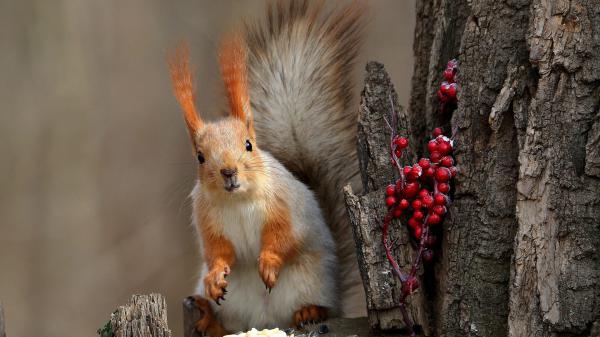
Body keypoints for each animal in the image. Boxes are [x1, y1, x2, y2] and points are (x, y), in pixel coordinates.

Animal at [168, 1, 366, 334]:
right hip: (235, 306)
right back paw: (207, 316)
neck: (237, 201)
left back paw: (309, 311)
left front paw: (270, 262)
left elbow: (283, 237)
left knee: (316, 305)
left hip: (311, 280)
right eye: (200, 157)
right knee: (228, 325)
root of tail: (264, 319)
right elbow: (218, 251)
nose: (228, 172)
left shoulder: (284, 208)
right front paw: (215, 277)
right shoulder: (208, 221)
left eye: (249, 144)